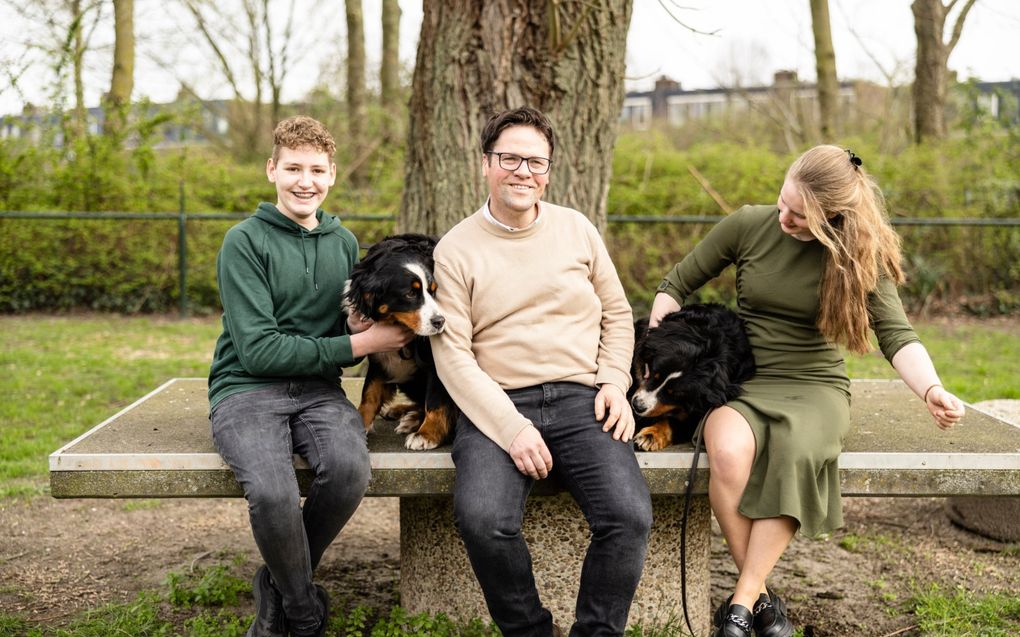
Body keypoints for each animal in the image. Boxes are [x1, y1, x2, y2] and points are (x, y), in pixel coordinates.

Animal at [340, 232, 456, 446]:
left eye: (433, 291)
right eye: (410, 293)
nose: (439, 321)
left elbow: (435, 401)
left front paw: (427, 434)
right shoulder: (378, 357)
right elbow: (369, 394)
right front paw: (361, 422)